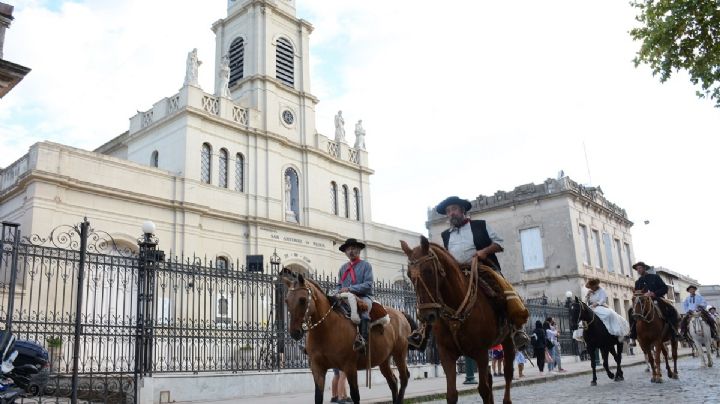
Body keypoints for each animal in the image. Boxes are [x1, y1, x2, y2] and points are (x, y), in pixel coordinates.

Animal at [282, 268, 410, 404]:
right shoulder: (317, 368)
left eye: (302, 300)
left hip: (399, 355)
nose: (295, 332)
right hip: (384, 360)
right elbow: (318, 396)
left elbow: (355, 395)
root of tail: (401, 314)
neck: (326, 330)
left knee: (404, 378)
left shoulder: (349, 367)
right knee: (393, 382)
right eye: (286, 300)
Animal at [402, 237, 516, 404]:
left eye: (429, 271)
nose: (426, 316)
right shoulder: (446, 354)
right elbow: (451, 394)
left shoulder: (480, 352)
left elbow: (483, 389)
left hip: (507, 340)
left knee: (508, 373)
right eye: (409, 275)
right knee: (490, 378)